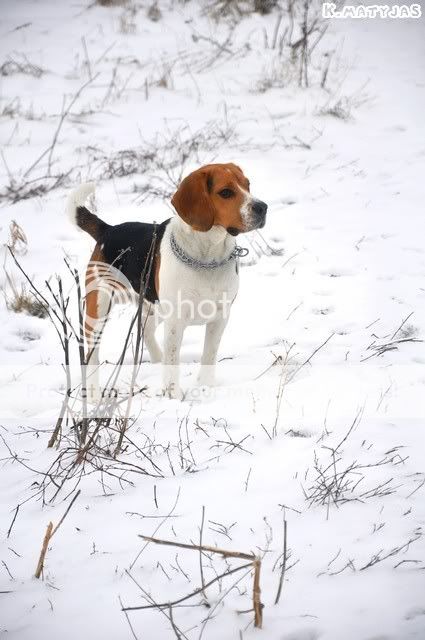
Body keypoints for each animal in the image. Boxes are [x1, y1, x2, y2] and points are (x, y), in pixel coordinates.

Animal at [66, 163, 267, 400]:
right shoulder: (175, 322)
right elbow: (172, 362)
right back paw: (94, 393)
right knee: (92, 355)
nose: (263, 207)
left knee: (146, 333)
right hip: (98, 310)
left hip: (152, 307)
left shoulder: (220, 318)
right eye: (226, 192)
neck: (207, 258)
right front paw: (173, 396)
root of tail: (108, 229)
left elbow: (209, 355)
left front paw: (206, 387)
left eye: (247, 185)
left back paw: (156, 360)